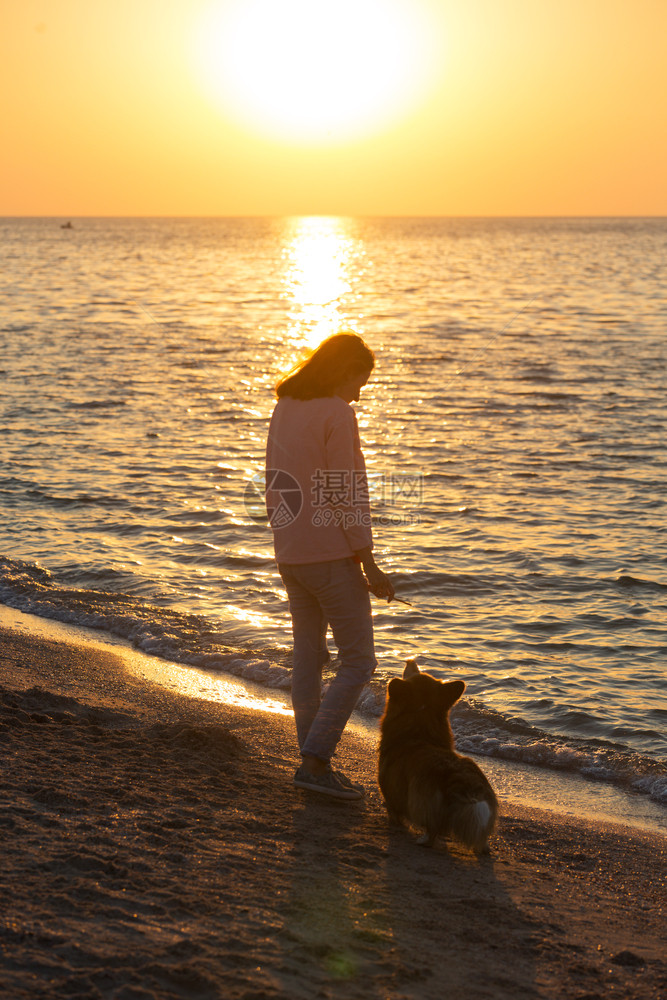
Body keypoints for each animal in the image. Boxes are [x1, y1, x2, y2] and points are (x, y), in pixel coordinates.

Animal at [378, 656, 498, 852]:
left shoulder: (391, 794)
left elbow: (394, 812)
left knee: (432, 829)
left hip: (421, 802)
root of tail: (464, 782)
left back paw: (423, 841)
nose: (410, 662)